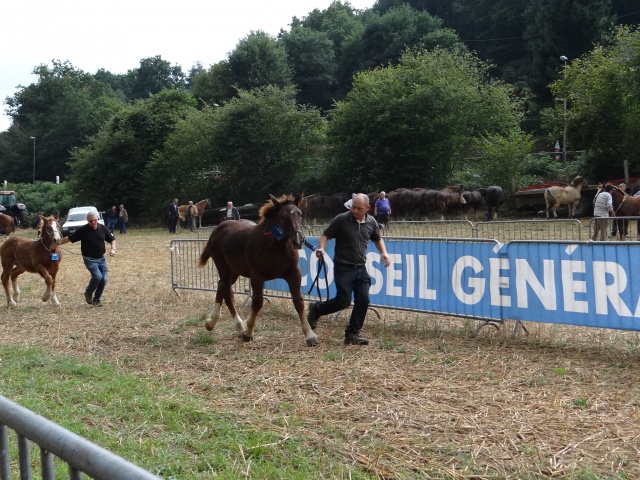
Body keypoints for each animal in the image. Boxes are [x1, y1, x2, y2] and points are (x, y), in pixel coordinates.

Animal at [195, 193, 316, 346]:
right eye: (282, 216)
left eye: (299, 214)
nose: (298, 240)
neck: (275, 246)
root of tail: (218, 229)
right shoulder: (257, 276)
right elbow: (257, 302)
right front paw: (248, 332)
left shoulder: (294, 273)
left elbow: (299, 302)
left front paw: (310, 335)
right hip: (223, 266)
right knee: (226, 290)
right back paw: (231, 325)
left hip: (234, 271)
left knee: (222, 286)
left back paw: (222, 324)